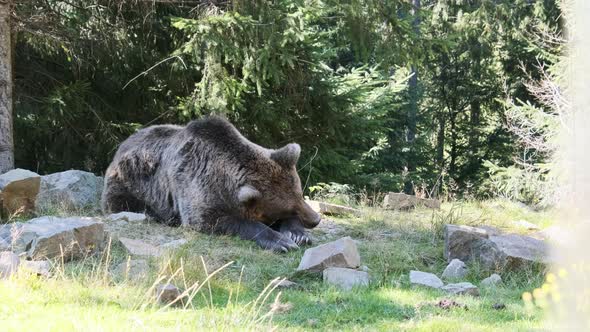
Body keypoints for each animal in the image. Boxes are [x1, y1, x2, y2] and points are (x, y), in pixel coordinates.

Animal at [103, 115, 324, 250]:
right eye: (288, 207)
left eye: (299, 194)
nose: (316, 219)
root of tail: (122, 144)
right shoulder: (195, 186)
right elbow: (214, 220)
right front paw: (281, 242)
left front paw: (297, 235)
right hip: (128, 181)